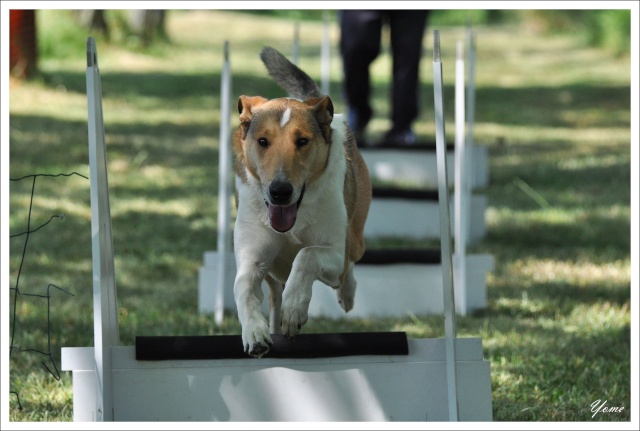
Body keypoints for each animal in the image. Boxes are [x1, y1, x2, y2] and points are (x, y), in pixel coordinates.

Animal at [231, 47, 372, 358]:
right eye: (263, 141)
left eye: (303, 141)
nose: (280, 191)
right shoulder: (252, 258)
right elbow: (243, 287)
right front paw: (254, 333)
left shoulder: (334, 252)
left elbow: (307, 254)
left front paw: (295, 308)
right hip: (273, 277)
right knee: (274, 296)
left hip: (354, 240)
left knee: (349, 265)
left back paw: (346, 293)